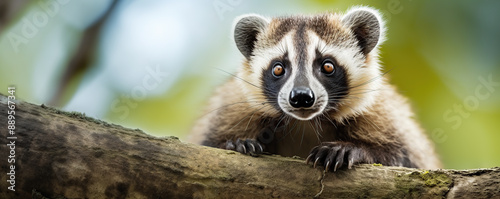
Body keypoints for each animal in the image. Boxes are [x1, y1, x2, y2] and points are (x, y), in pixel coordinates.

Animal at [189, 6, 440, 171]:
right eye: (278, 68)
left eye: (328, 66)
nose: (301, 97)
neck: (305, 123)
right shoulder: (232, 108)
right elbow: (207, 141)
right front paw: (233, 143)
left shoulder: (385, 114)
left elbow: (409, 159)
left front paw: (356, 149)